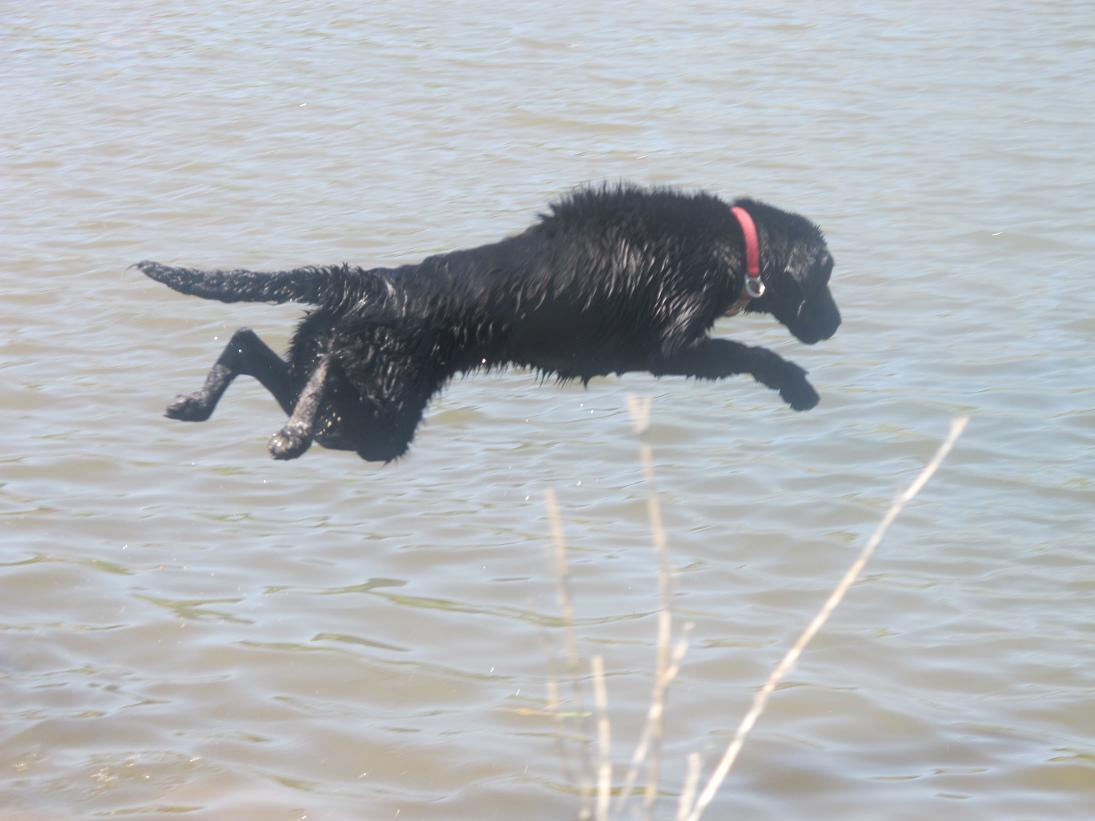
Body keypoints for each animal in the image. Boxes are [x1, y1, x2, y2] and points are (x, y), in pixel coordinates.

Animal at [136, 184, 836, 464]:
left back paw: (197, 403)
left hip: (366, 414)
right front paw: (797, 384)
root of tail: (373, 281)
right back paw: (289, 432)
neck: (733, 241)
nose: (833, 325)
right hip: (382, 410)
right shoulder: (673, 341)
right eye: (826, 273)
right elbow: (752, 355)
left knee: (249, 342)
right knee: (316, 371)